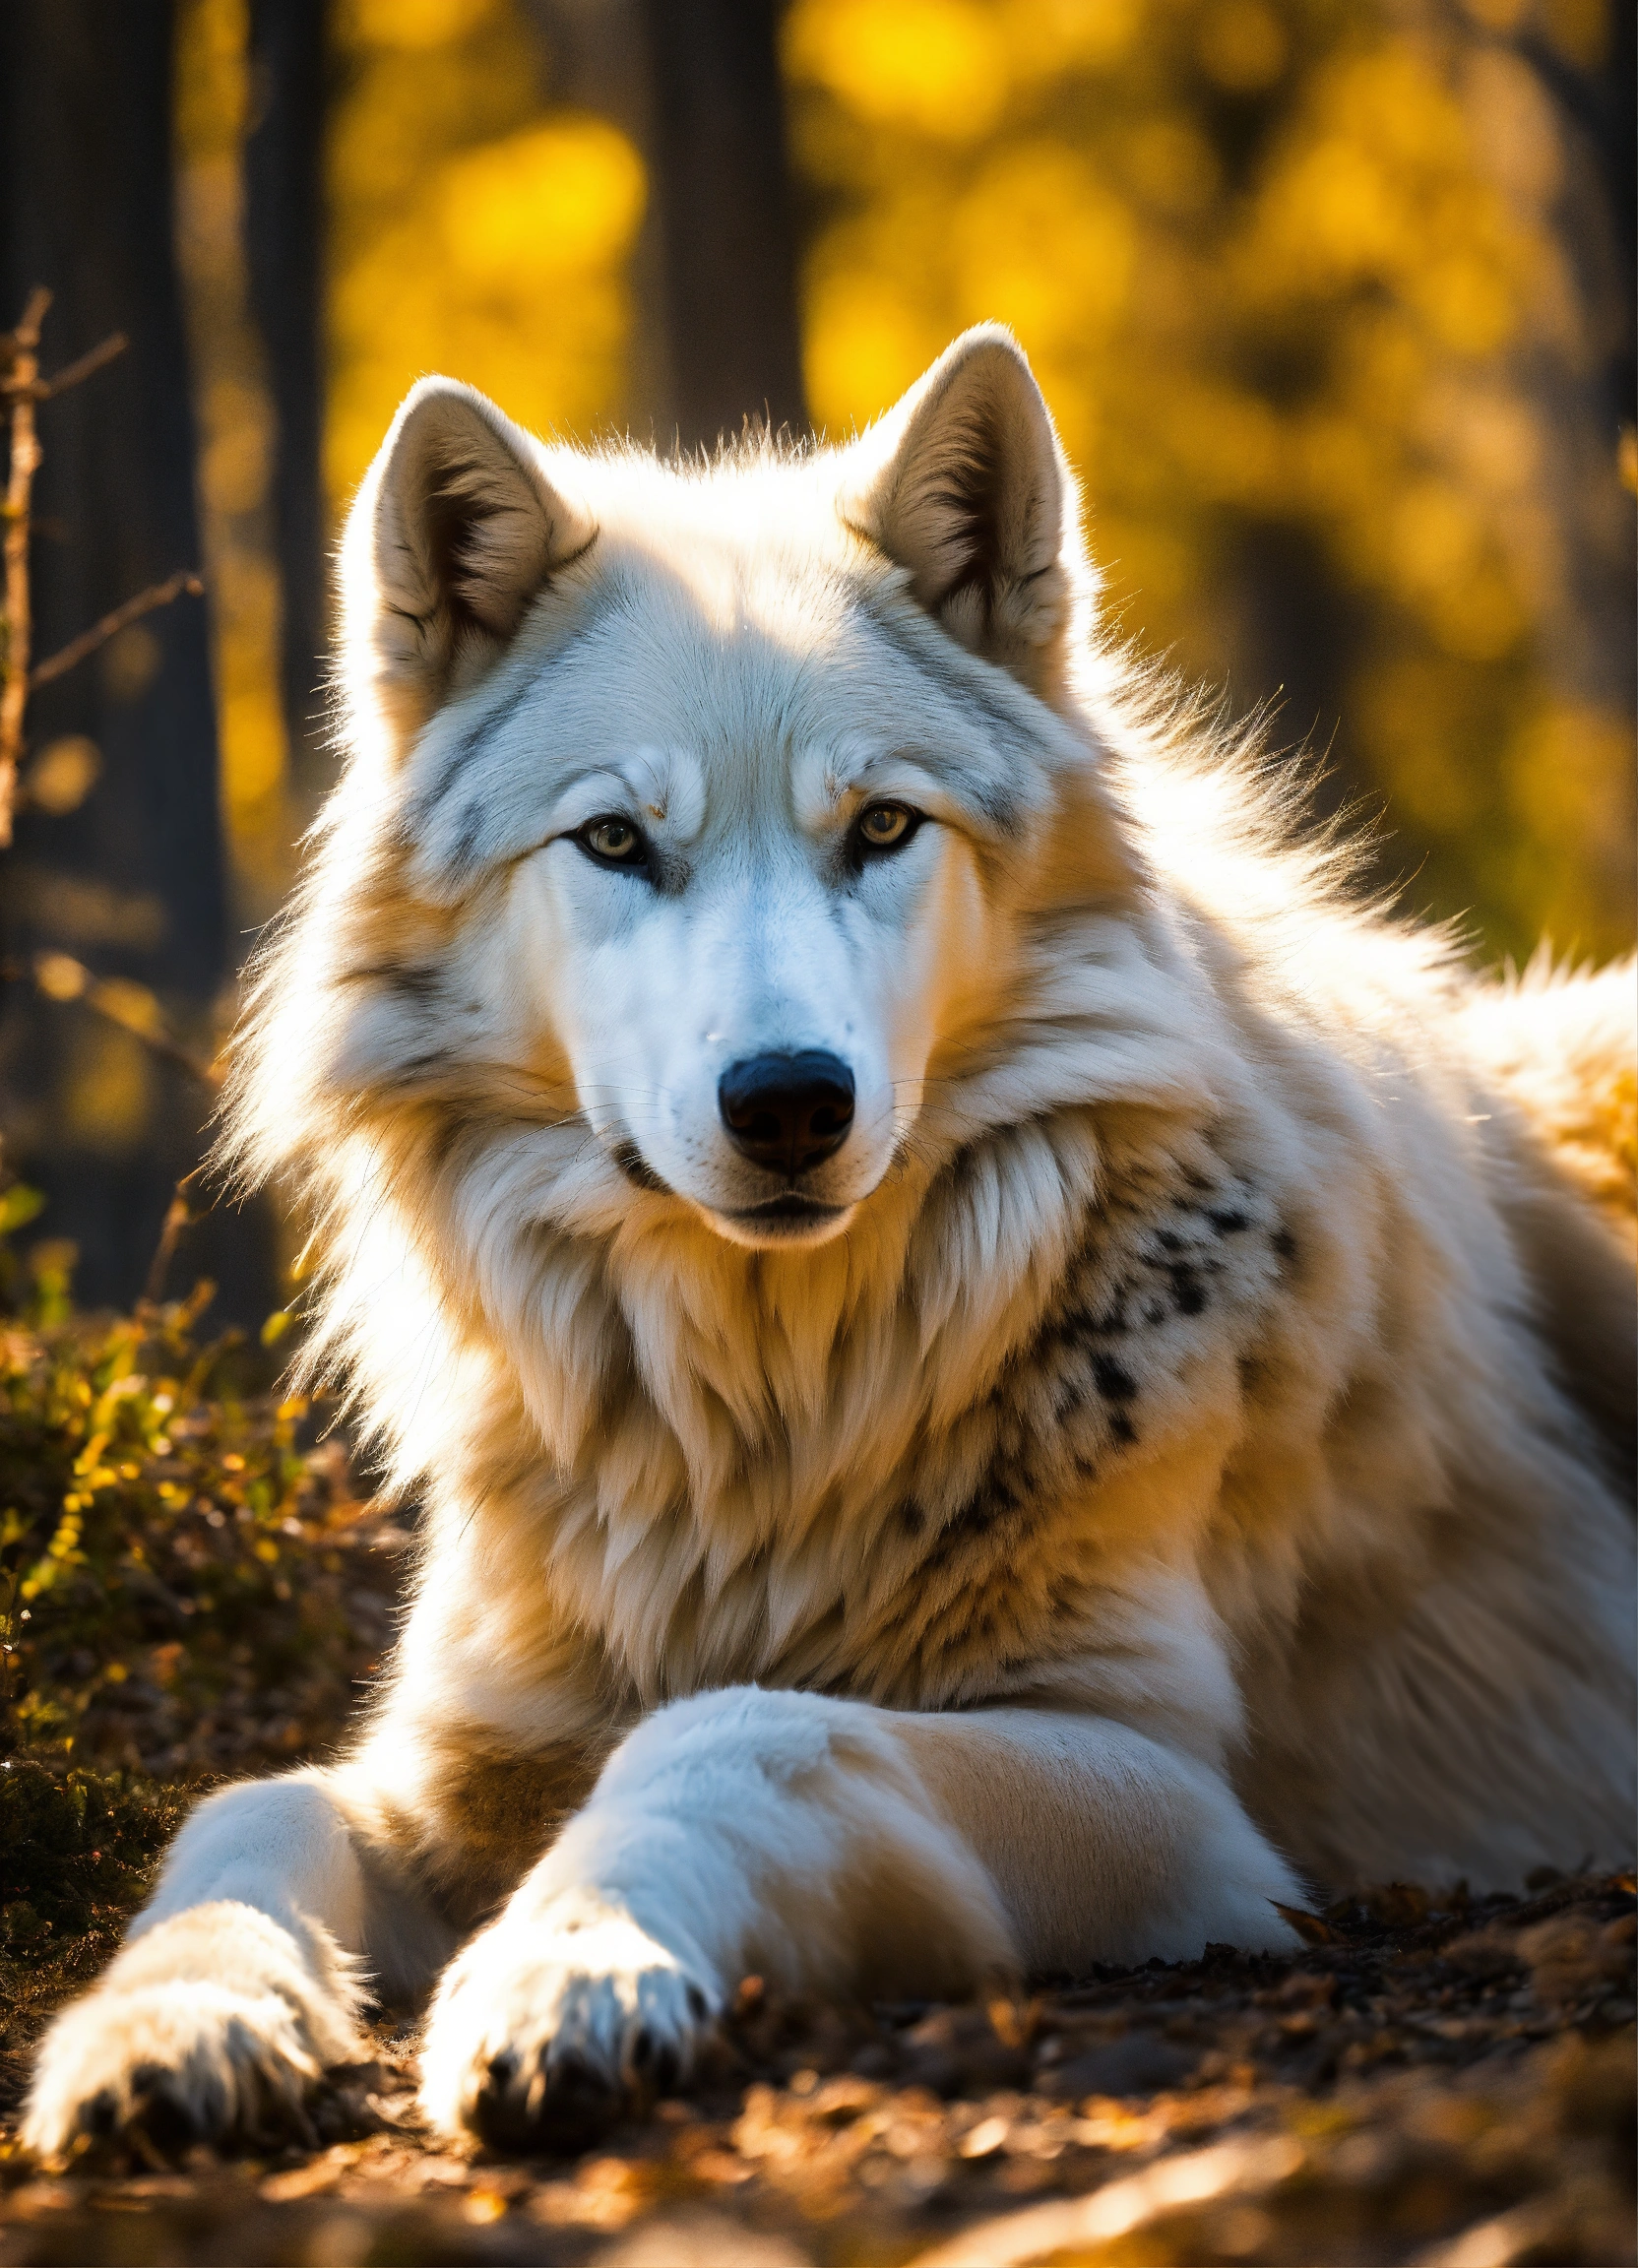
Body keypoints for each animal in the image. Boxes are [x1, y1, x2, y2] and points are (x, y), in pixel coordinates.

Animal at [25, 327, 1635, 2158]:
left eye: (878, 826)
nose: (788, 1099)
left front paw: (568, 1968)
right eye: (614, 840)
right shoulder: (452, 1762)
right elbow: (247, 1805)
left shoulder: (1162, 1779)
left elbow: (747, 1725)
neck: (759, 1427)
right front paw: (165, 2023)